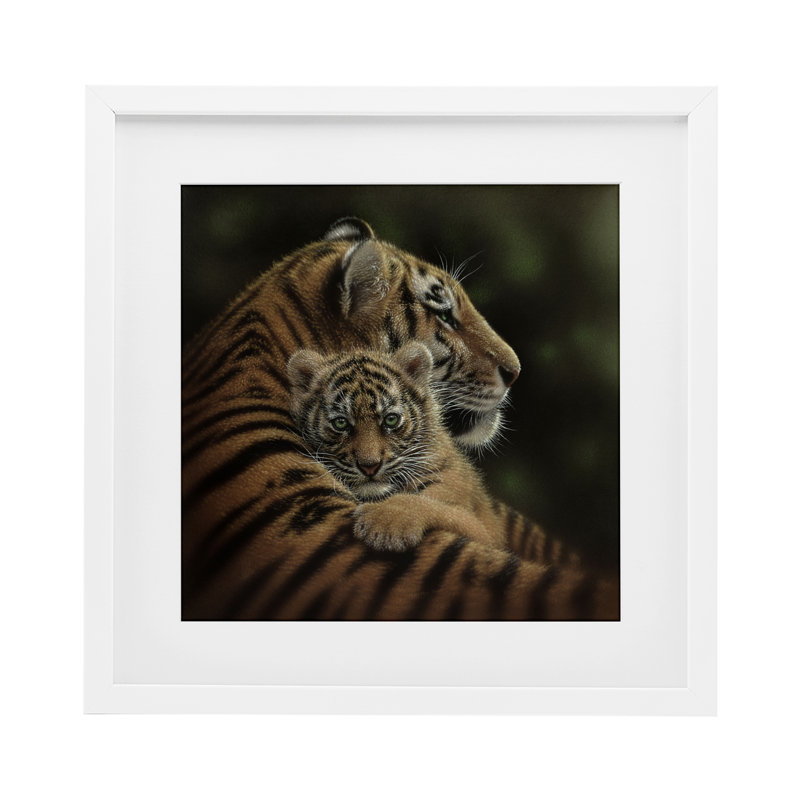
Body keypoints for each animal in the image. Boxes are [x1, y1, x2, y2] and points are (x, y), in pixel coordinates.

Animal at [287, 342, 509, 553]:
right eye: (340, 423)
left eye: (391, 419)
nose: (369, 466)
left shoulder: (481, 531)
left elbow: (435, 507)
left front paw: (384, 524)